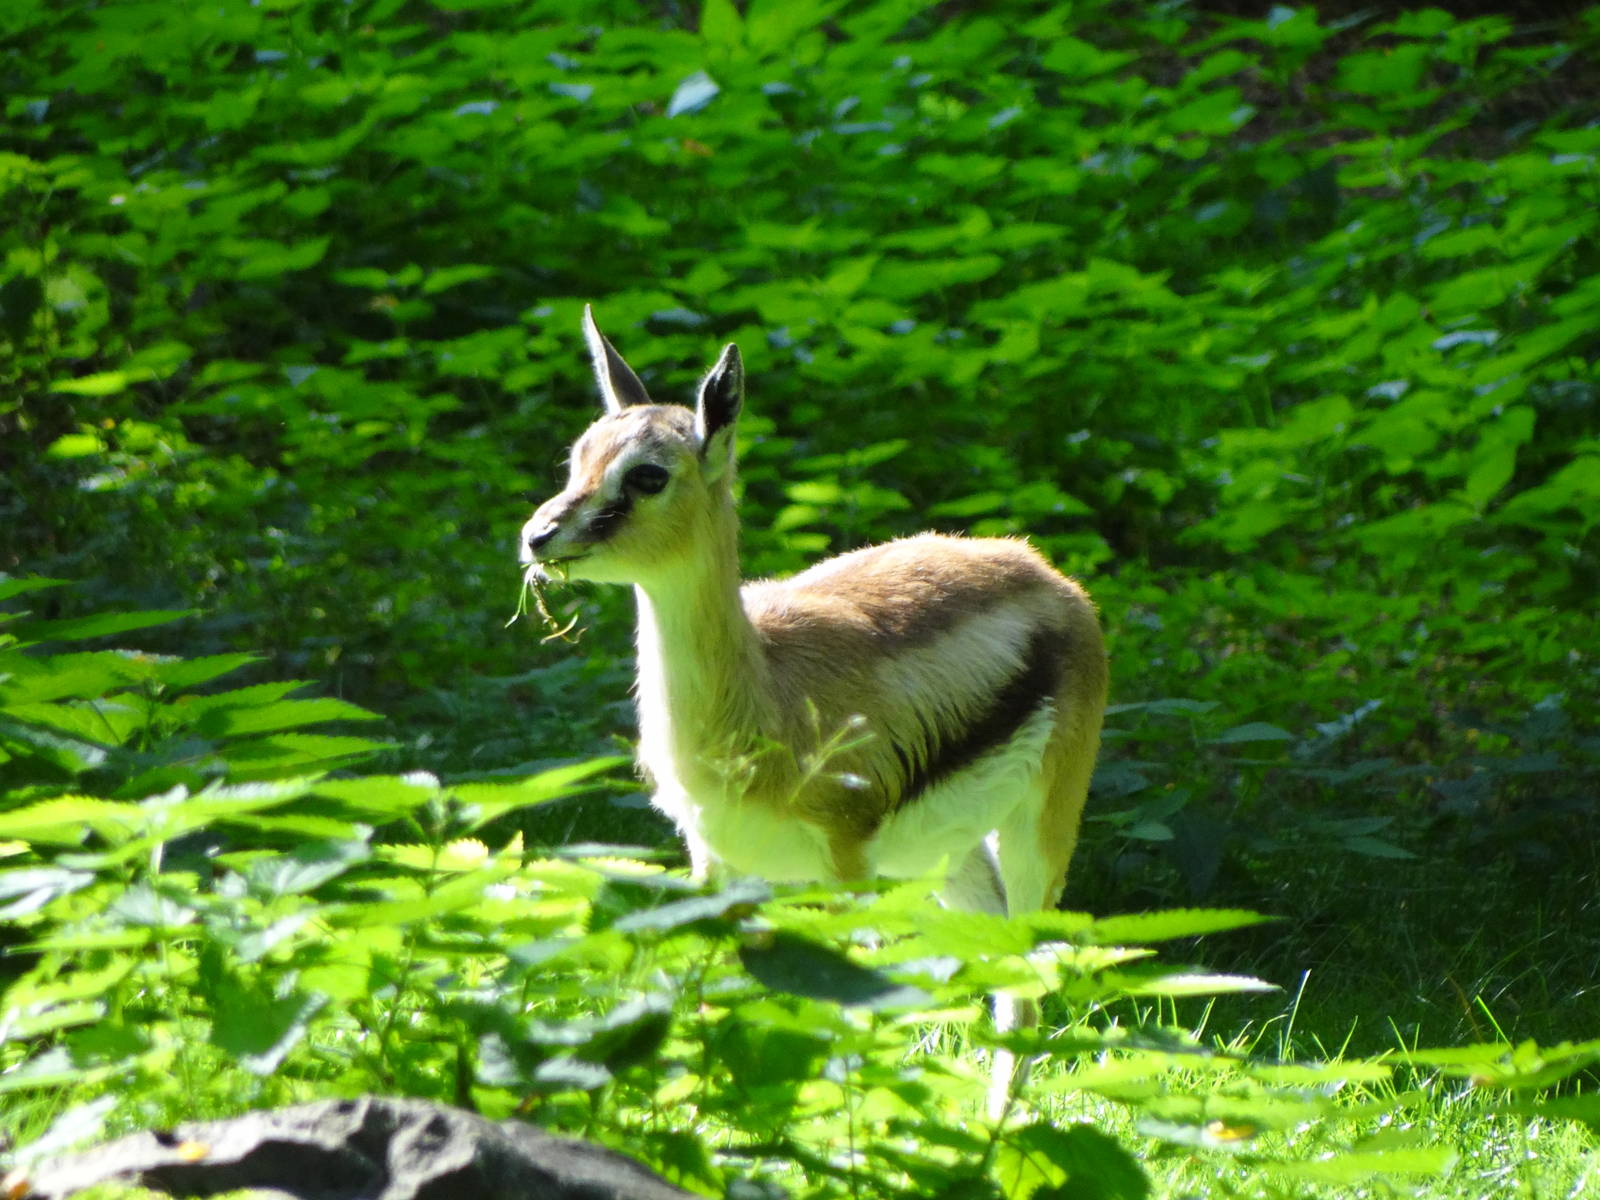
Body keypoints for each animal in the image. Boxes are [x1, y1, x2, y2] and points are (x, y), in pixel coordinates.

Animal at [519, 308, 1108, 1111]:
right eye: (577, 458)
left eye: (647, 474)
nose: (538, 536)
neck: (759, 695)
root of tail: (1046, 573)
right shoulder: (715, 864)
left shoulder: (845, 870)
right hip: (945, 856)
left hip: (1035, 836)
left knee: (1025, 982)